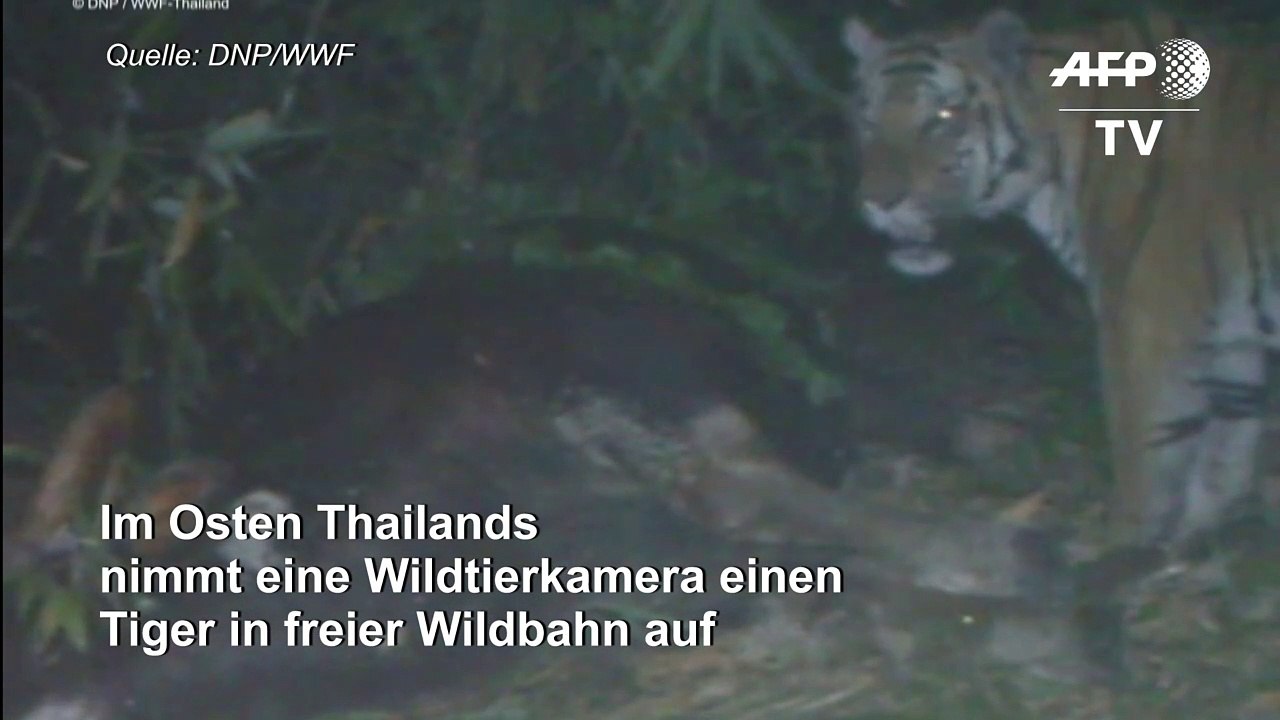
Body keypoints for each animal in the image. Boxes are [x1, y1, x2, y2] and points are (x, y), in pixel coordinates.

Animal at [838, 9, 1279, 547]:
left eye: (943, 117)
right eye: (868, 119)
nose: (878, 202)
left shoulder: (1145, 328)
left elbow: (1145, 462)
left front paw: (1123, 546)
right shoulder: (1233, 346)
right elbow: (1221, 465)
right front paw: (1186, 545)